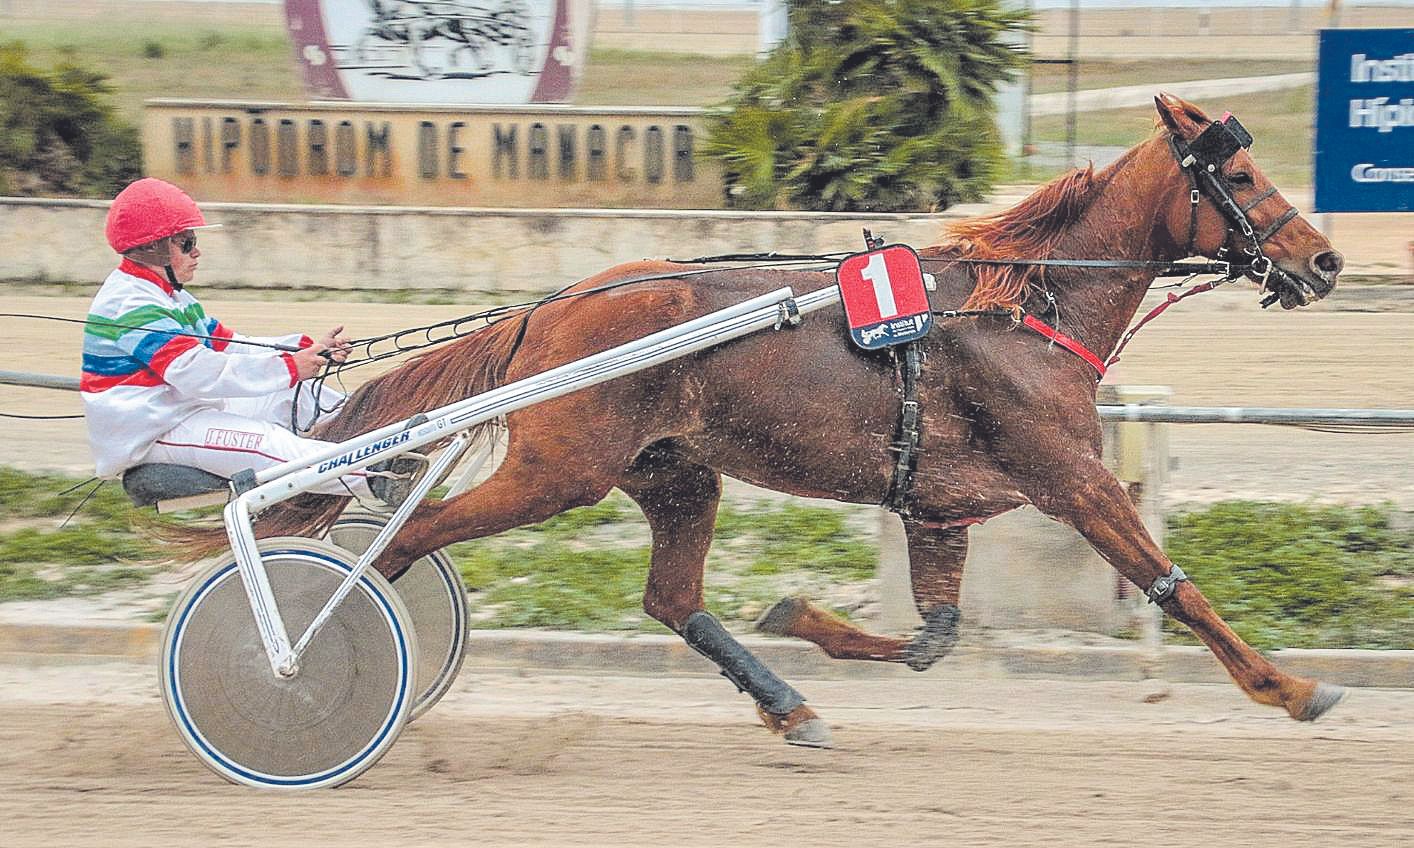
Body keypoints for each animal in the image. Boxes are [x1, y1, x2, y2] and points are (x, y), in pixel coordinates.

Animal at [263, 96, 1346, 746]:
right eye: (1239, 180)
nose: (1326, 261)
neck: (1025, 305)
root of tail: (551, 308)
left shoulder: (937, 502)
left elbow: (933, 636)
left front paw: (798, 620)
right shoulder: (1068, 476)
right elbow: (1173, 584)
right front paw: (1290, 688)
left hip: (675, 471)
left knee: (671, 597)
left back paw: (789, 706)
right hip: (559, 468)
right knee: (414, 539)